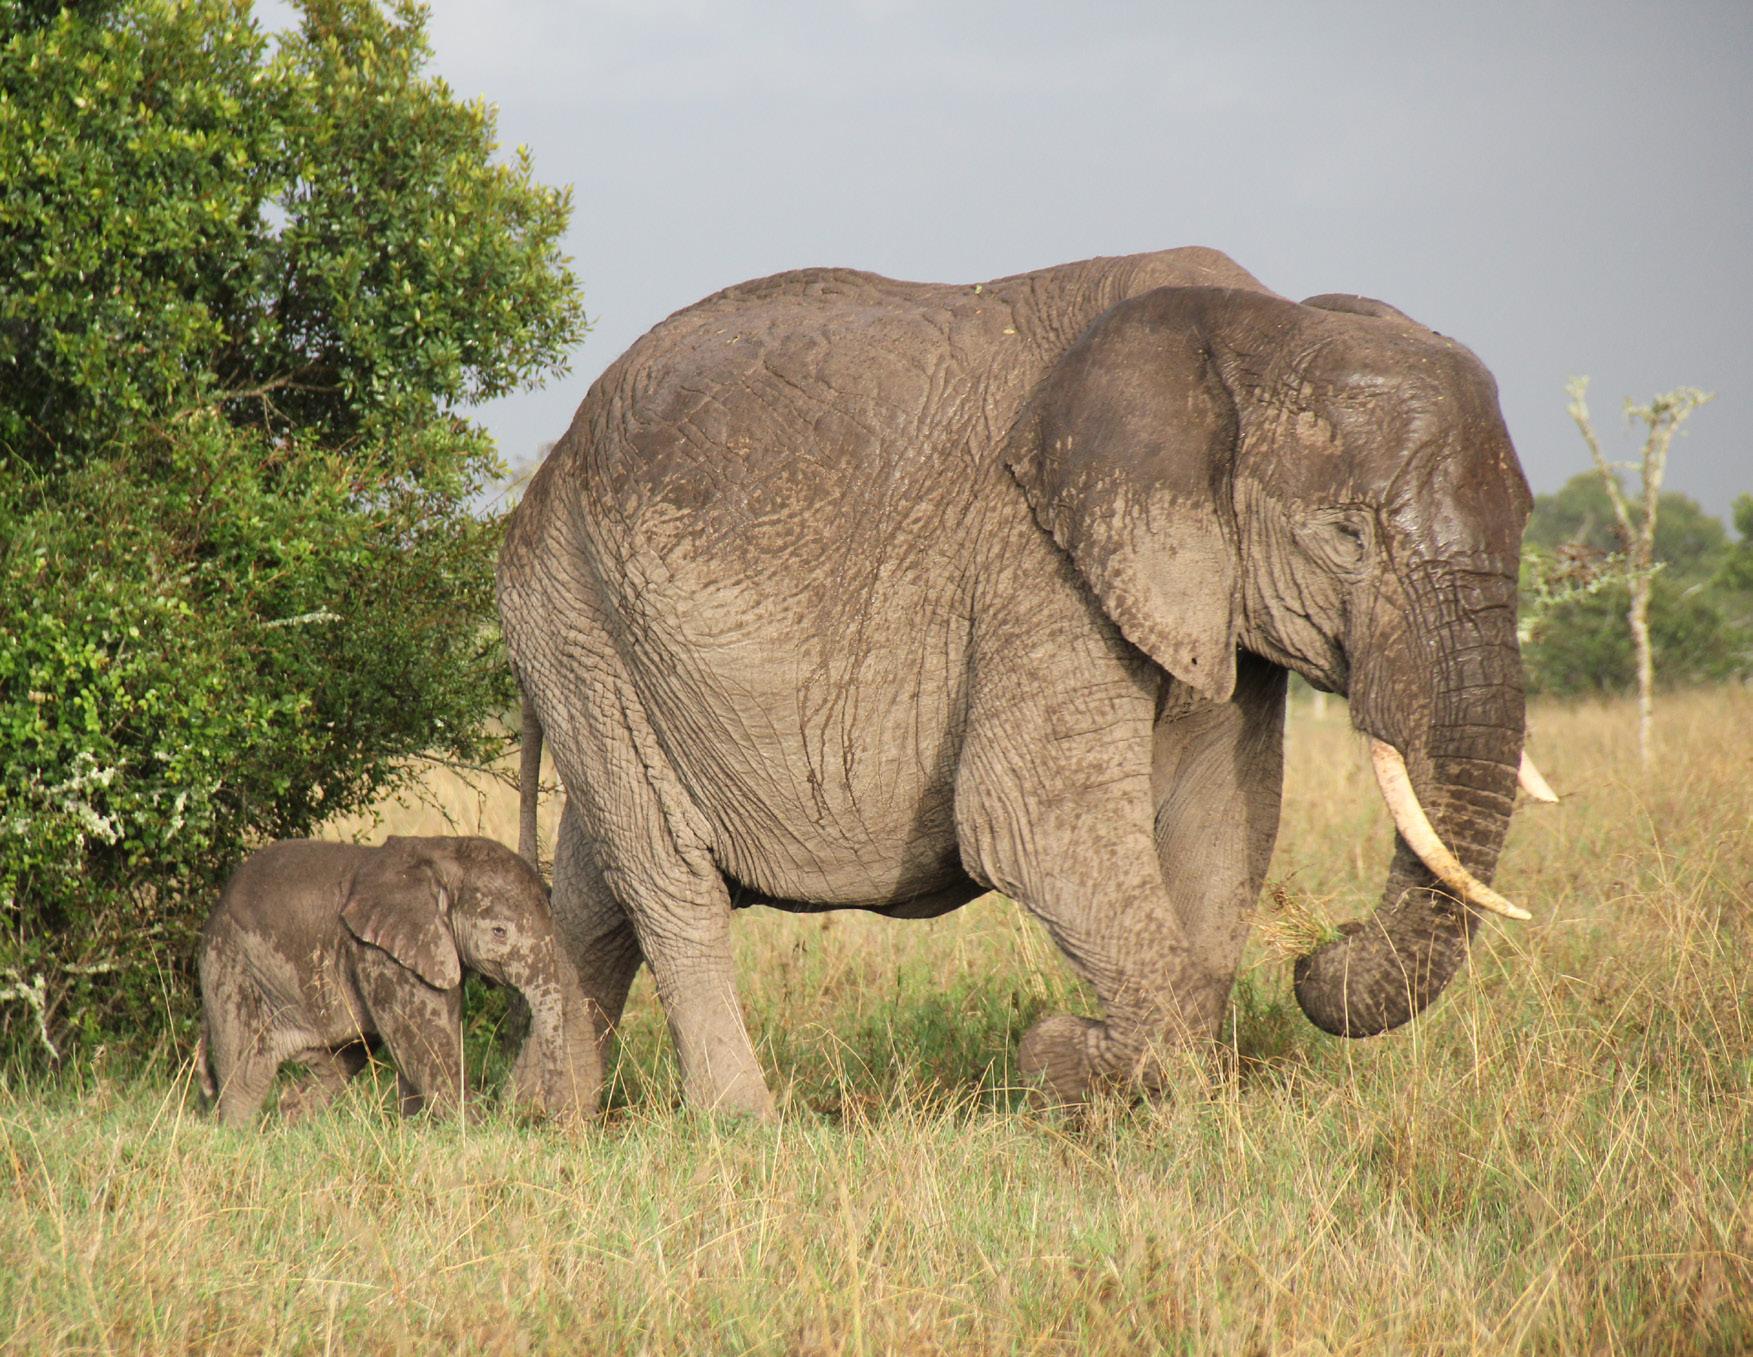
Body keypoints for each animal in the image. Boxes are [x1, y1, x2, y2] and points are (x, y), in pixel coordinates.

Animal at [196, 835, 595, 1126]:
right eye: (499, 932)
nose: (550, 1120)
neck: (444, 853)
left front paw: (416, 1131)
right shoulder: (380, 955)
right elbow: (427, 1048)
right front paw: (478, 1133)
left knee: (337, 1064)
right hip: (231, 964)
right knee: (247, 1076)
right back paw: (240, 1136)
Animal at [497, 246, 1556, 1116]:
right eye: (1344, 537)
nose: (1315, 953)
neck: (1261, 326)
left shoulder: (1209, 595)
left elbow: (1221, 825)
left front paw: (1139, 1084)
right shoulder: (1034, 561)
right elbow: (1036, 823)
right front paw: (1056, 1056)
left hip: (597, 634)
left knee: (597, 884)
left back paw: (544, 1117)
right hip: (570, 610)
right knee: (667, 874)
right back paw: (742, 1125)